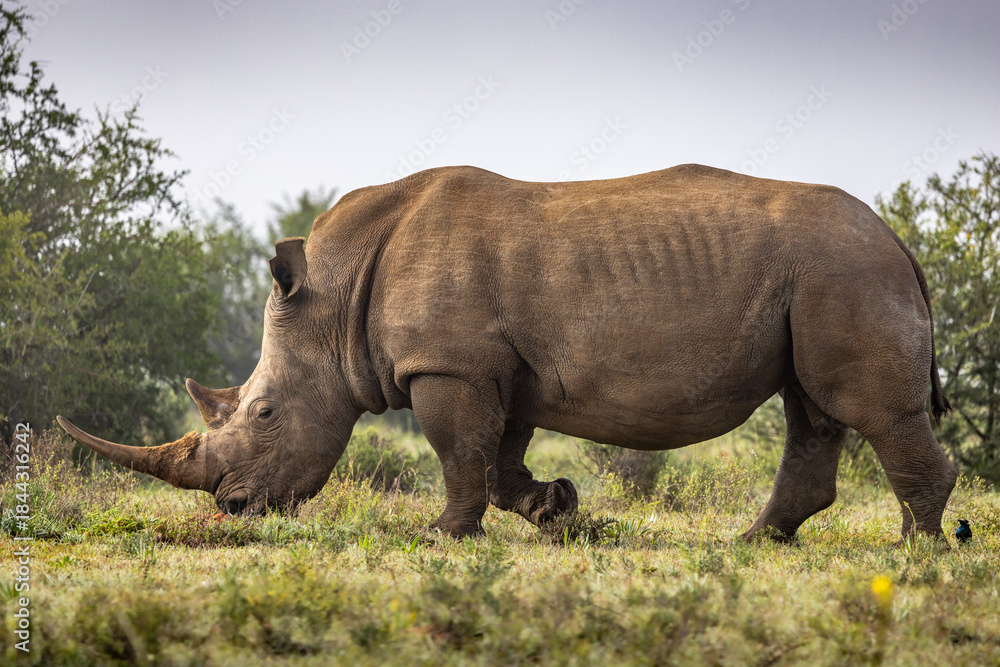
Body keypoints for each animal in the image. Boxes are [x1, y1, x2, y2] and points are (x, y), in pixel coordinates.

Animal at [58, 164, 958, 541]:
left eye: (266, 411)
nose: (235, 507)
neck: (335, 295)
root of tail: (900, 240)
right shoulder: (498, 367)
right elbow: (495, 459)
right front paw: (555, 507)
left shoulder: (448, 364)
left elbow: (459, 456)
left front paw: (439, 537)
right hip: (822, 275)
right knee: (812, 410)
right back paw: (755, 542)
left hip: (843, 270)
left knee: (864, 408)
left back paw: (915, 549)